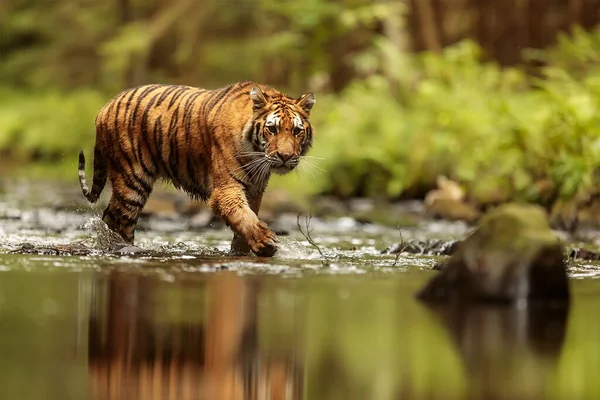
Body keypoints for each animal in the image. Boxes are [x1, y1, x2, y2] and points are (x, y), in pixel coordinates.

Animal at [77, 81, 316, 256]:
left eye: (296, 131)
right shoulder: (226, 190)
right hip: (132, 183)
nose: (285, 156)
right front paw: (264, 241)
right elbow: (243, 216)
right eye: (272, 129)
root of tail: (104, 108)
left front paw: (242, 252)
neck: (256, 155)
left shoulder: (254, 190)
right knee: (118, 221)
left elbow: (246, 219)